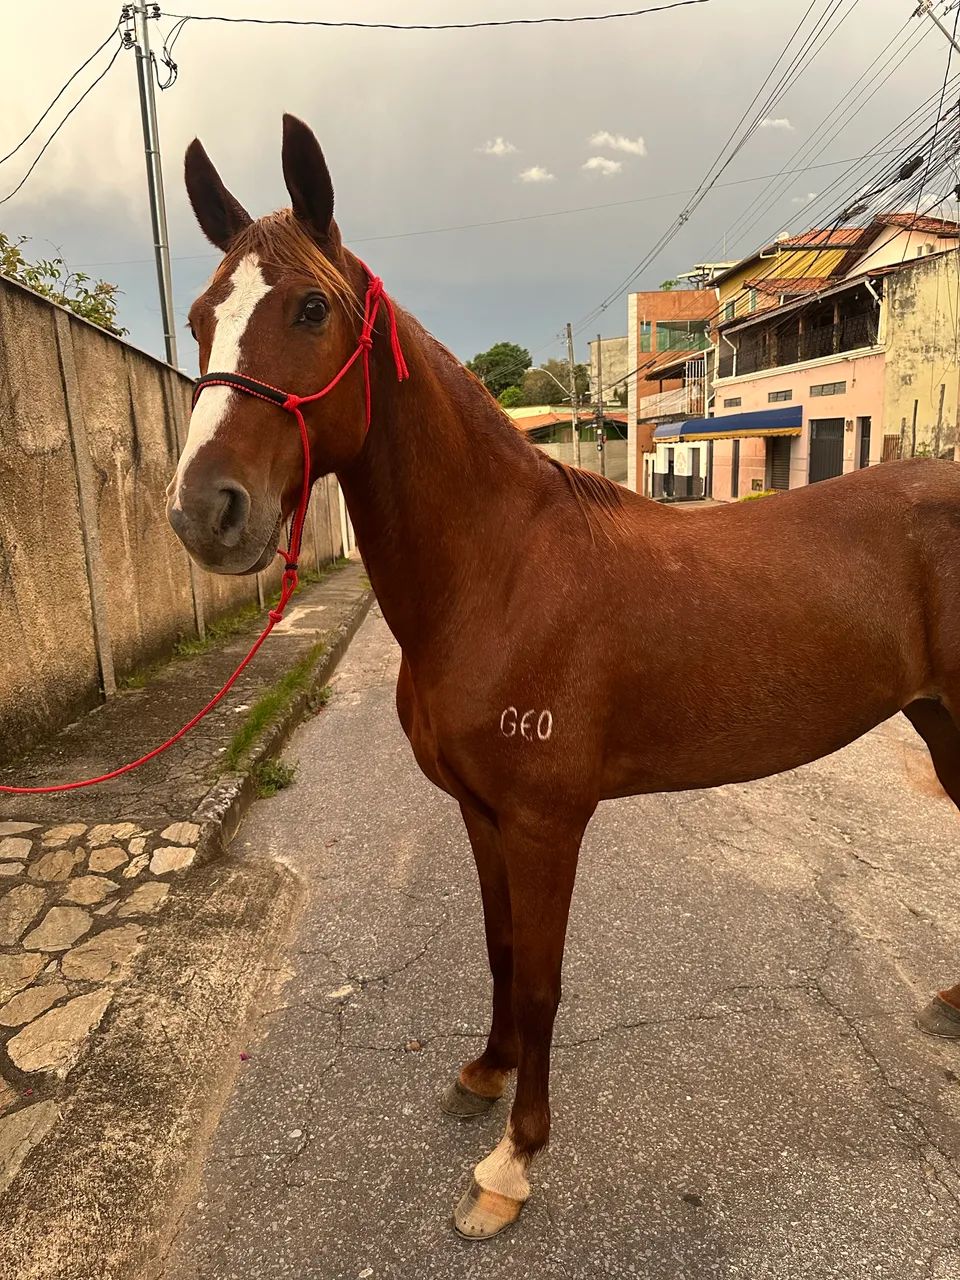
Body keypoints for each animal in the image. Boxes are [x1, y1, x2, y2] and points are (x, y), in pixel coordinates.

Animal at [168, 114, 960, 1240]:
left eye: (310, 308)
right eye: (200, 317)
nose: (206, 513)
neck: (500, 571)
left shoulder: (547, 821)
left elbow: (542, 978)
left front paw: (512, 1161)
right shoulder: (482, 811)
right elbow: (502, 952)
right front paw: (485, 1073)